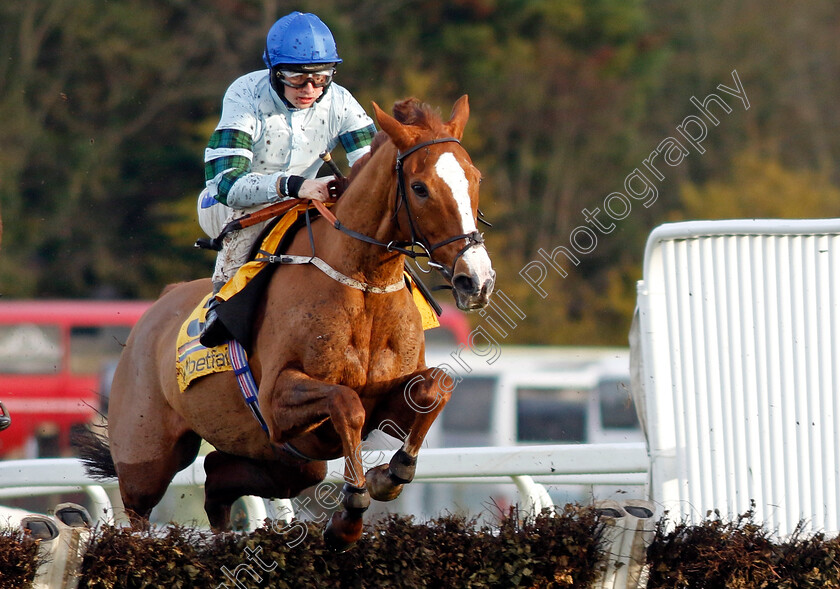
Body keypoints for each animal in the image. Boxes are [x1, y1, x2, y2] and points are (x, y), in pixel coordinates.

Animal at [79, 94, 492, 548]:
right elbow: (346, 403)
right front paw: (350, 513)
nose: (476, 279)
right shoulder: (277, 400)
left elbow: (437, 387)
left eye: (475, 179)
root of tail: (159, 304)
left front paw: (390, 474)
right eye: (419, 188)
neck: (363, 287)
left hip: (282, 460)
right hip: (147, 455)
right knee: (140, 510)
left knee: (216, 480)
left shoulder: (386, 397)